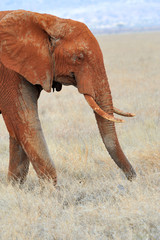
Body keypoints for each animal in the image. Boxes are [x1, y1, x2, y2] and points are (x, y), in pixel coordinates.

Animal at [0, 10, 136, 185]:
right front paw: (51, 190)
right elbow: (25, 123)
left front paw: (14, 188)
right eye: (79, 57)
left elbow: (17, 130)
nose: (132, 177)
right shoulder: (9, 73)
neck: (46, 21)